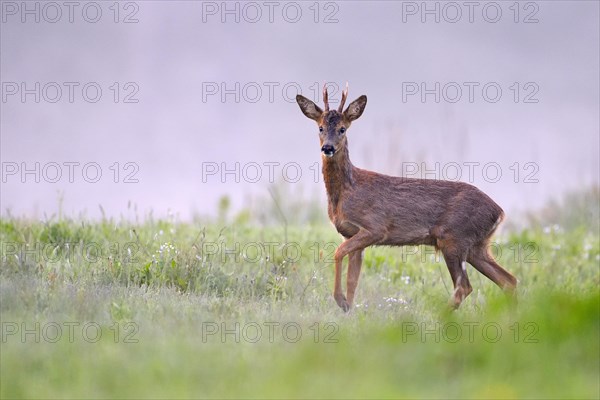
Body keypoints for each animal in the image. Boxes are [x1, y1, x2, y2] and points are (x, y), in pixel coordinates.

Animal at [294, 83, 516, 310]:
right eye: (320, 127)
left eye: (342, 129)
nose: (328, 147)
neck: (346, 191)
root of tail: (499, 212)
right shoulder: (351, 233)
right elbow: (353, 281)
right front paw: (348, 307)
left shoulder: (375, 228)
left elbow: (338, 252)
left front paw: (340, 300)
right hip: (477, 246)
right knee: (508, 280)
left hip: (454, 238)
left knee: (464, 287)